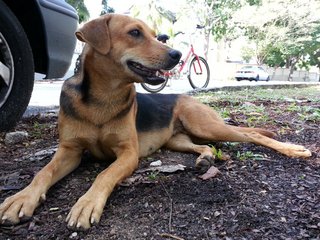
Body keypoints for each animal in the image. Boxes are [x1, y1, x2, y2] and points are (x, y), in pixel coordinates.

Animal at [0, 13, 310, 231]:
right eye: (135, 33)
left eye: (155, 35)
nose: (177, 54)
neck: (103, 97)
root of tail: (188, 97)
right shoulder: (70, 150)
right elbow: (42, 173)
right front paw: (20, 199)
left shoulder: (128, 154)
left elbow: (104, 175)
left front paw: (87, 204)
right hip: (178, 139)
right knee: (204, 147)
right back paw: (205, 160)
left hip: (205, 125)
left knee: (252, 135)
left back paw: (293, 149)